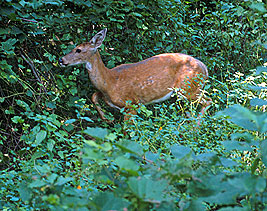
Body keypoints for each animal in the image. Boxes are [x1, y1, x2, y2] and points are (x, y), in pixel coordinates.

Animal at [59, 28, 213, 123]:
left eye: (78, 50)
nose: (61, 60)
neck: (110, 81)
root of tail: (205, 68)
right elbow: (94, 96)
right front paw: (108, 119)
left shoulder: (132, 104)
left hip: (187, 88)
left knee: (208, 100)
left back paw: (193, 128)